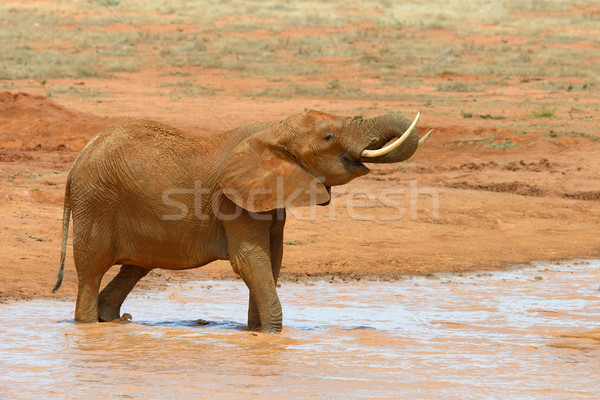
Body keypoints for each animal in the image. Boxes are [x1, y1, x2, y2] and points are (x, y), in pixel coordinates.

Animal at [50, 109, 426, 332]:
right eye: (329, 137)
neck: (274, 130)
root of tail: (77, 160)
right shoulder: (231, 199)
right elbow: (250, 261)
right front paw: (272, 334)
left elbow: (272, 262)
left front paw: (255, 333)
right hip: (96, 201)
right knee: (92, 269)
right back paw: (89, 327)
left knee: (136, 266)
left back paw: (116, 321)